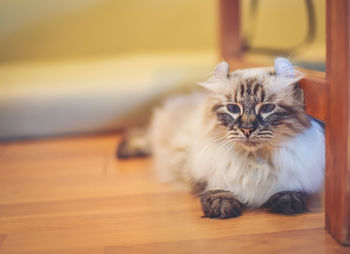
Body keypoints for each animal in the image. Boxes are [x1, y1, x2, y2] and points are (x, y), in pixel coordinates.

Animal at [117, 57, 326, 218]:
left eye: (266, 108)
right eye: (233, 108)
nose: (247, 129)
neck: (254, 161)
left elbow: (290, 189)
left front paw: (286, 203)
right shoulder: (200, 170)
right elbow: (217, 189)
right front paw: (221, 207)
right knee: (141, 135)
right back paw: (124, 151)